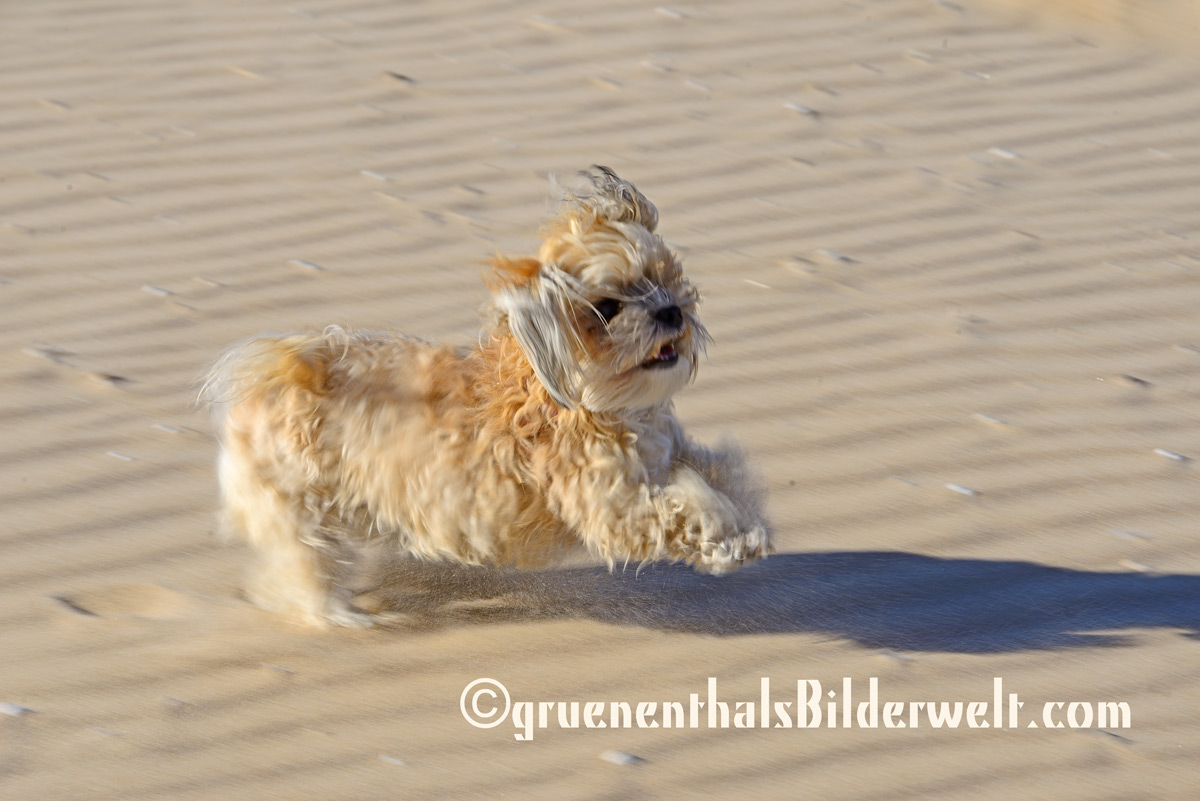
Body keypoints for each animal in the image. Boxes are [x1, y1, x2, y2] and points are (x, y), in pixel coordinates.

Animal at [202, 167, 772, 623]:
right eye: (608, 307)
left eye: (666, 276)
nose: (670, 311)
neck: (590, 399)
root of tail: (277, 376)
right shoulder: (611, 506)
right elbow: (678, 507)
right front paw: (724, 536)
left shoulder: (667, 452)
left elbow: (713, 472)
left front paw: (745, 524)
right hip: (304, 514)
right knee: (308, 573)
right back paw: (347, 615)